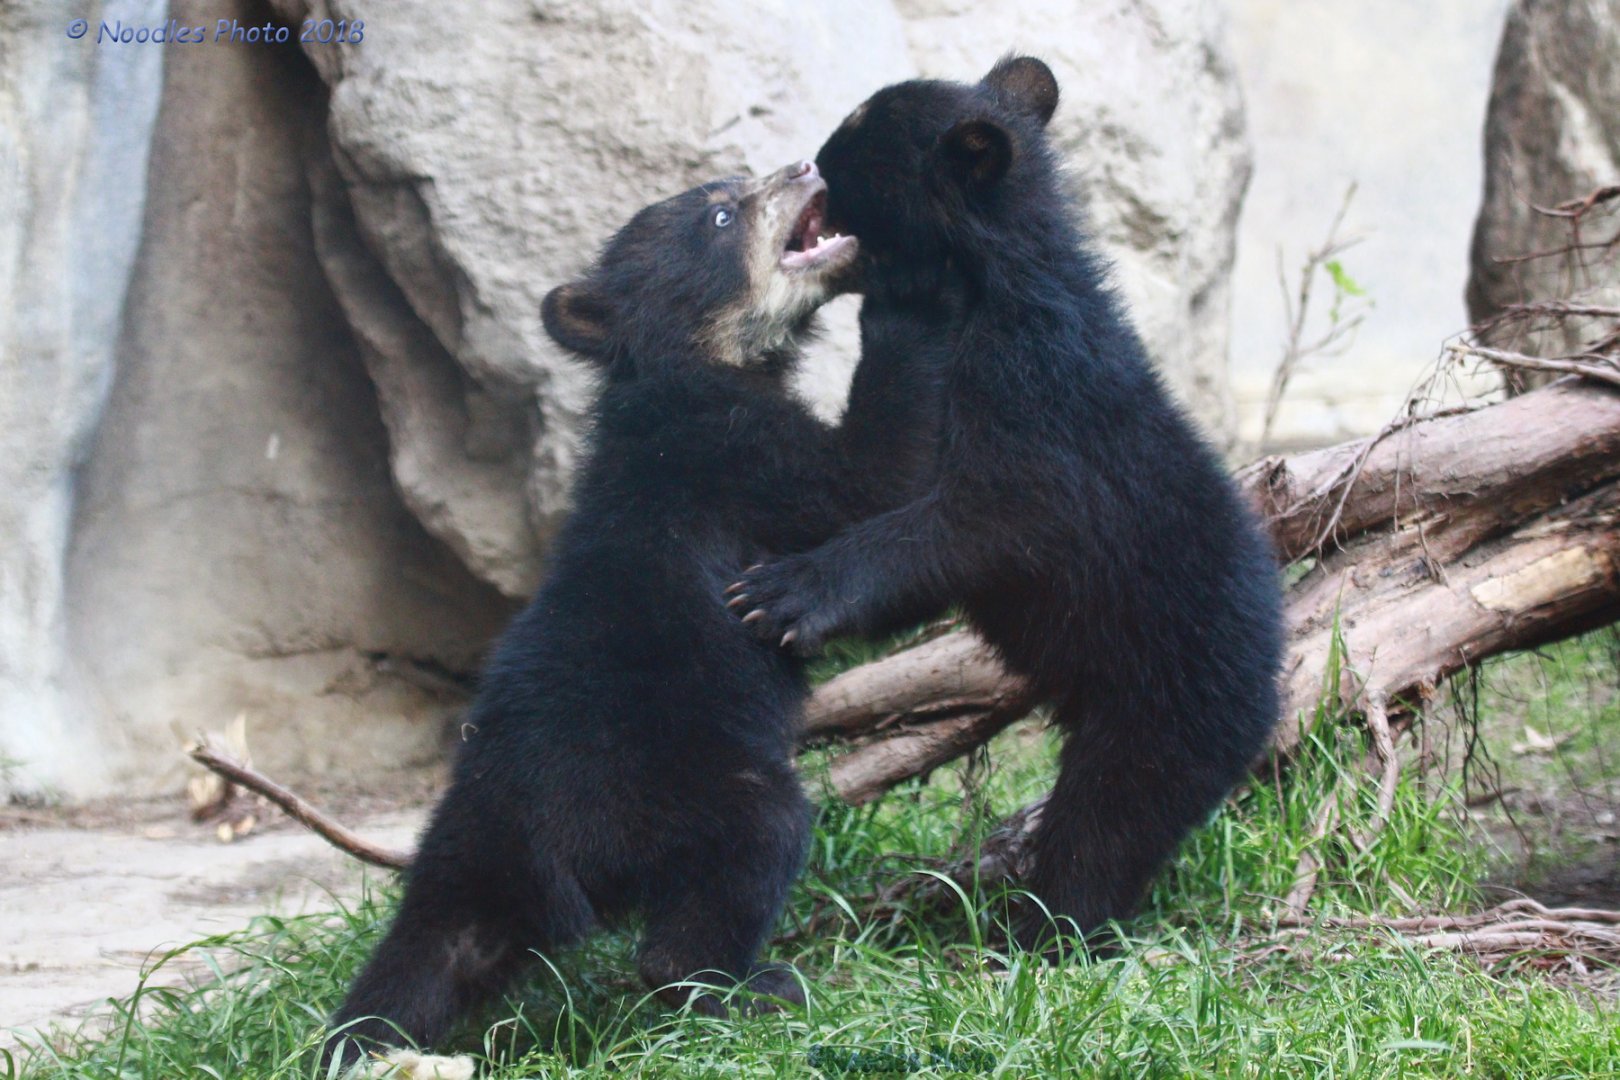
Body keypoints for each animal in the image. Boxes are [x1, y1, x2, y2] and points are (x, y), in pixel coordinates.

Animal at [322, 159, 948, 1073]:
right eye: (723, 213)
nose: (803, 165)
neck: (704, 361)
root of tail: (531, 845)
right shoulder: (735, 450)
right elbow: (870, 479)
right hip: (682, 786)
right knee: (741, 862)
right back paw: (750, 989)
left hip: (458, 860)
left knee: (423, 958)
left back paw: (362, 1039)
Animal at [727, 57, 1285, 950]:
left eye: (854, 130)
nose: (805, 163)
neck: (994, 278)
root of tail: (1272, 682)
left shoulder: (1033, 398)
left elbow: (980, 521)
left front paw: (780, 594)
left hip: (1166, 686)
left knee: (1115, 812)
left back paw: (1046, 925)